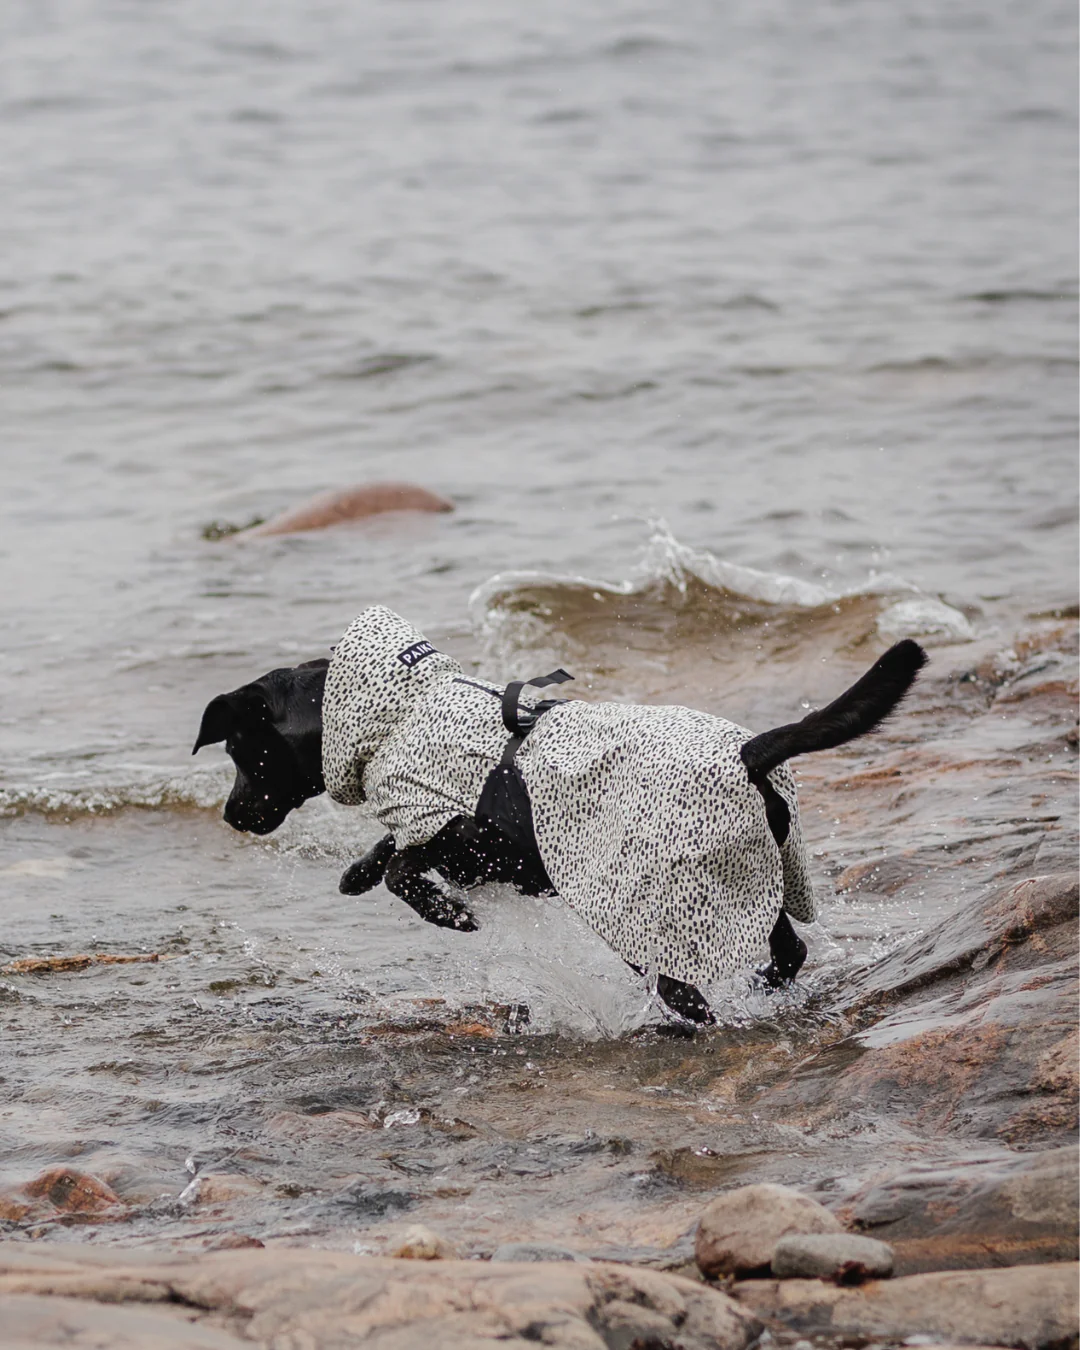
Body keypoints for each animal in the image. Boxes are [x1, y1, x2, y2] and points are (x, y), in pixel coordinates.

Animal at [191, 642, 918, 1020]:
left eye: (238, 751)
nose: (229, 816)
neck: (396, 718)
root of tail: (749, 755)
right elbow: (393, 847)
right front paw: (355, 872)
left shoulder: (475, 835)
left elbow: (405, 863)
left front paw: (448, 914)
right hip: (750, 887)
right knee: (789, 950)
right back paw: (763, 990)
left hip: (645, 914)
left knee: (686, 992)